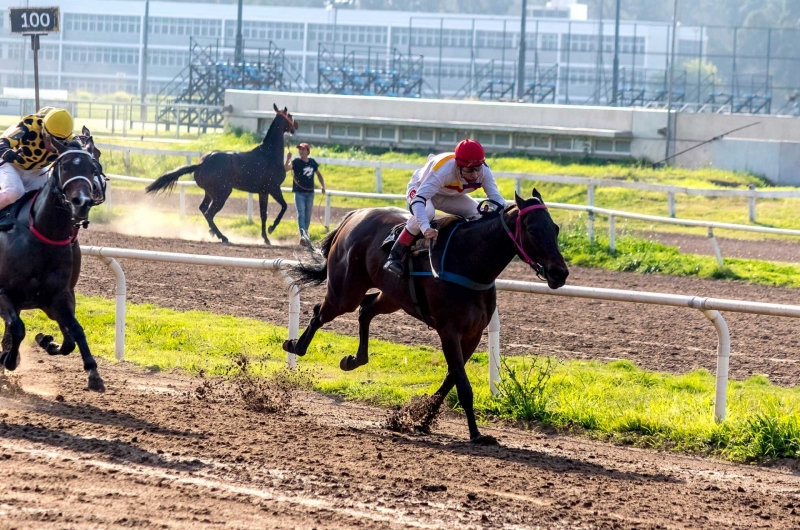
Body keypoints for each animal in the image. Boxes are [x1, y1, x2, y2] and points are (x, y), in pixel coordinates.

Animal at [0, 130, 107, 390]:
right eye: (65, 166)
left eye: (93, 166)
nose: (82, 202)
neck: (45, 234)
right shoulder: (3, 293)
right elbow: (17, 328)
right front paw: (9, 359)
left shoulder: (58, 297)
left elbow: (74, 334)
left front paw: (92, 373)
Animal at [145, 102, 296, 243]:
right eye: (290, 115)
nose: (296, 126)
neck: (269, 153)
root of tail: (202, 163)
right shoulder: (274, 188)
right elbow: (284, 206)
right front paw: (271, 228)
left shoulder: (263, 191)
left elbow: (263, 214)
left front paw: (265, 238)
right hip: (222, 193)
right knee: (209, 213)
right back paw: (222, 236)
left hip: (210, 192)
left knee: (203, 209)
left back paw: (214, 232)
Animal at [286, 188, 568, 444]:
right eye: (532, 230)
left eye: (554, 228)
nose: (560, 273)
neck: (469, 262)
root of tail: (355, 215)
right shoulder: (449, 331)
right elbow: (462, 384)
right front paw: (476, 434)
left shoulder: (473, 334)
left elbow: (451, 379)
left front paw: (422, 419)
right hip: (345, 291)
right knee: (320, 312)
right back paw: (295, 346)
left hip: (392, 296)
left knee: (366, 309)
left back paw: (354, 359)